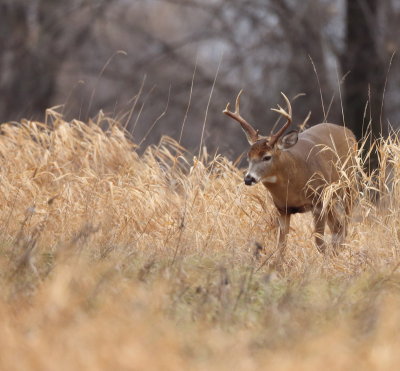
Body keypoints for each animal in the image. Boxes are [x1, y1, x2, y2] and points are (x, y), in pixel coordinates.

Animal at [223, 91, 358, 258]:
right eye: (248, 156)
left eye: (267, 157)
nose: (249, 178)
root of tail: (348, 131)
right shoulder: (282, 209)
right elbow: (281, 247)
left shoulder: (318, 201)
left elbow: (319, 243)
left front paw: (325, 261)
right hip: (331, 198)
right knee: (337, 227)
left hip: (348, 186)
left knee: (345, 224)